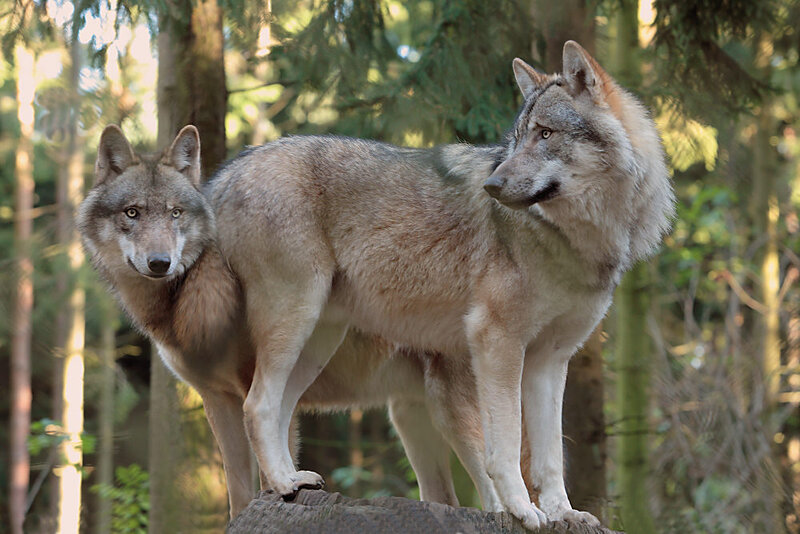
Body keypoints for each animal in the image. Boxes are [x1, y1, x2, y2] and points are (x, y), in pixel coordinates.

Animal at [77, 125, 504, 518]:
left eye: (174, 213)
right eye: (132, 213)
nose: (159, 262)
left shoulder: (245, 391)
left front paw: (281, 485)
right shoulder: (216, 399)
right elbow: (238, 493)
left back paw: (287, 481)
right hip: (384, 396)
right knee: (446, 498)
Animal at [205, 41, 674, 529]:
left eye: (545, 134)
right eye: (516, 139)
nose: (492, 184)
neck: (576, 237)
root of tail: (225, 174)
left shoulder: (550, 361)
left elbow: (549, 457)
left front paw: (563, 513)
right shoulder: (495, 342)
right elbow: (506, 447)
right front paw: (522, 509)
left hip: (318, 344)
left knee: (279, 410)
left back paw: (293, 481)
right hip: (297, 324)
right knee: (257, 406)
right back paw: (282, 483)